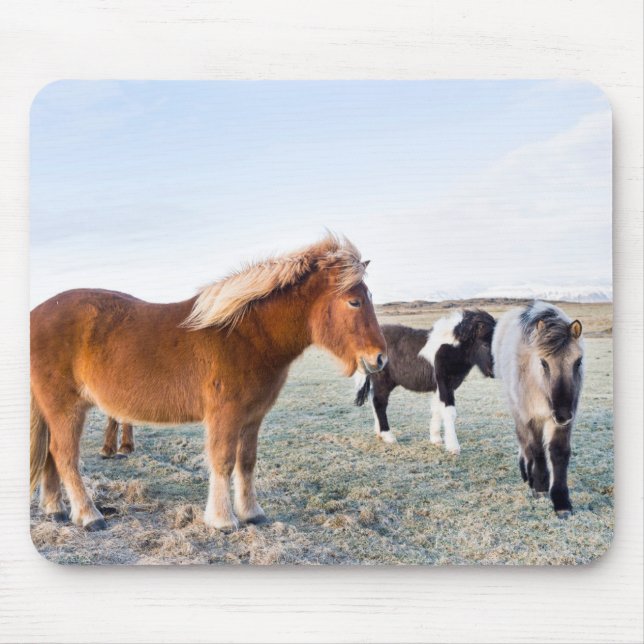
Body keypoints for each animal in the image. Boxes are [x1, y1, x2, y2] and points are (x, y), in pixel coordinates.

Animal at [30, 234, 387, 531]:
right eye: (354, 301)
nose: (381, 358)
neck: (247, 336)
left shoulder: (252, 417)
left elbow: (246, 462)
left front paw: (252, 513)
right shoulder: (224, 415)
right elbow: (223, 460)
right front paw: (222, 520)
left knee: (51, 454)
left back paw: (55, 509)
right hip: (66, 407)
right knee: (64, 455)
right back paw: (89, 516)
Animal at [355, 309, 496, 452]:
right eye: (485, 344)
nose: (493, 372)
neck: (450, 348)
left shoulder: (440, 386)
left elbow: (437, 409)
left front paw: (436, 439)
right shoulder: (445, 383)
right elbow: (449, 412)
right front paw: (453, 447)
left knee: (373, 399)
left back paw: (379, 433)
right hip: (383, 381)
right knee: (379, 403)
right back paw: (388, 436)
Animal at [492, 301, 584, 518]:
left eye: (578, 362)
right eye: (543, 363)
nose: (562, 414)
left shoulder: (562, 422)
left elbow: (559, 452)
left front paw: (561, 501)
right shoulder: (531, 417)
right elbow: (537, 449)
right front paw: (541, 486)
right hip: (517, 408)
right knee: (524, 441)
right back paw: (527, 475)